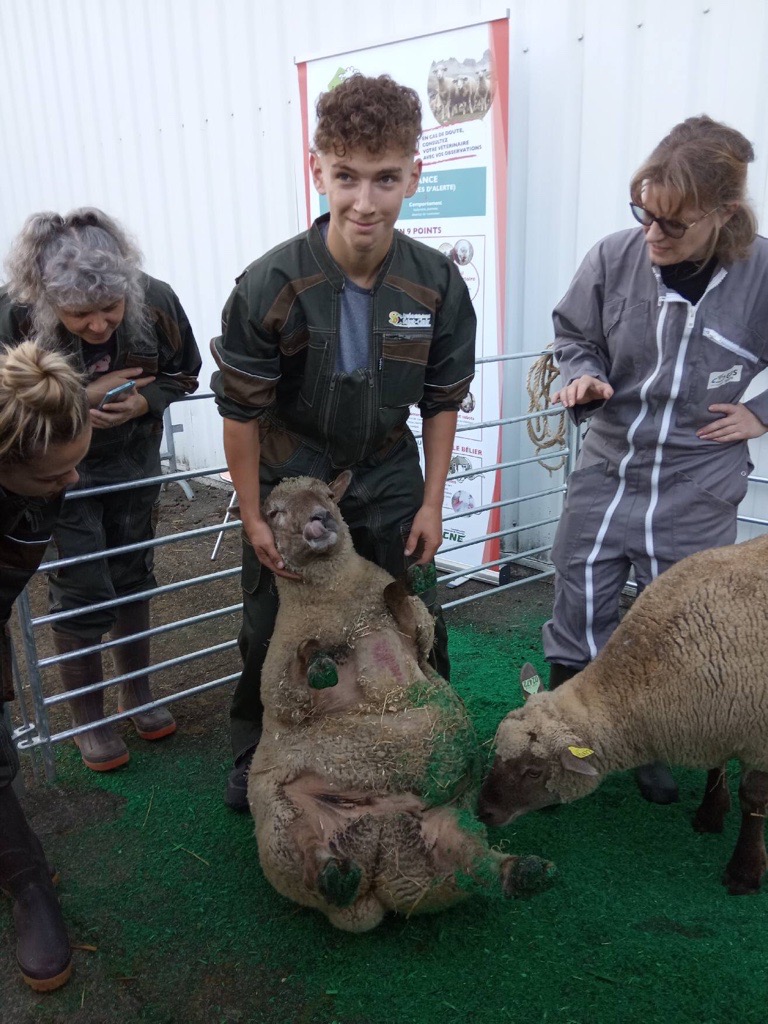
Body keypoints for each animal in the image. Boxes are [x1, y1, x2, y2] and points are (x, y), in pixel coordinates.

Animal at [246, 471, 552, 929]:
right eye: (274, 512)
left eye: (327, 495)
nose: (319, 519)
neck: (338, 603)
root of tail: (372, 887)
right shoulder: (280, 687)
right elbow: (297, 679)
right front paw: (318, 661)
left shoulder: (418, 638)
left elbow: (406, 609)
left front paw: (411, 581)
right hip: (281, 824)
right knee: (309, 859)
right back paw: (333, 876)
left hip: (442, 836)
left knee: (475, 864)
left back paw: (521, 872)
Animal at [481, 536, 768, 897]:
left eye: (534, 772)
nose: (482, 811)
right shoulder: (720, 722)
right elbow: (717, 768)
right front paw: (711, 814)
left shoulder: (756, 736)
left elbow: (753, 799)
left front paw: (744, 872)